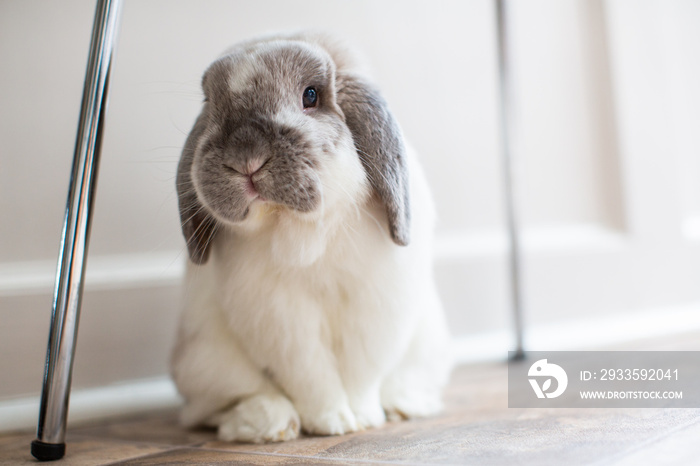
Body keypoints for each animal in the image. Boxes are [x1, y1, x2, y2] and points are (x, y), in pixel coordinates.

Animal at [171, 31, 454, 442]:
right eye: (211, 104)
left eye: (311, 95)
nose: (246, 159)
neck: (299, 230)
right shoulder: (281, 320)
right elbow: (310, 376)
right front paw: (332, 422)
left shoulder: (374, 306)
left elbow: (359, 373)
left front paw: (362, 418)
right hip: (205, 362)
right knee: (216, 407)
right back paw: (270, 423)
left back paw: (401, 405)